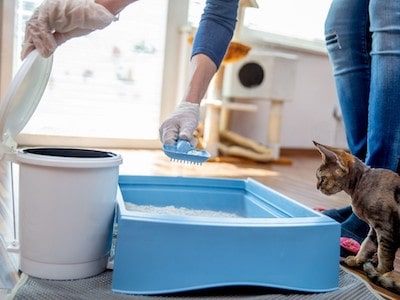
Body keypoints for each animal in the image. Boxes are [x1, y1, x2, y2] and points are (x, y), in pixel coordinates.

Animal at [314, 142, 400, 294]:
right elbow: (367, 244)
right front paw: (356, 259)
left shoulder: (386, 229)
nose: (317, 187)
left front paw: (380, 272)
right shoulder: (374, 228)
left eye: (322, 178)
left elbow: (384, 253)